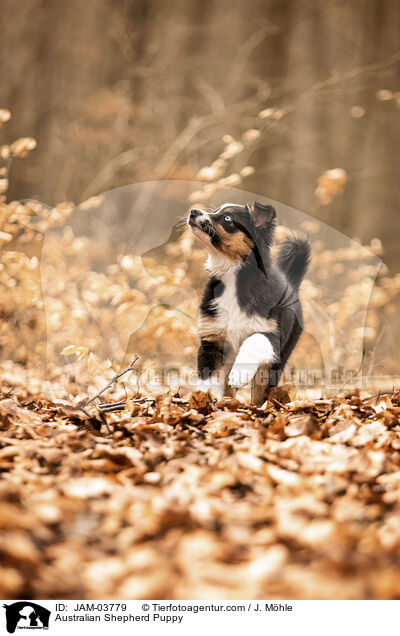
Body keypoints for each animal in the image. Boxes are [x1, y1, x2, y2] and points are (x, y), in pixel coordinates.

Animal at [186, 201, 310, 404]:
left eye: (228, 218)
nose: (193, 211)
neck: (234, 277)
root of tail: (291, 283)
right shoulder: (212, 339)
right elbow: (208, 378)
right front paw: (204, 399)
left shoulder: (271, 334)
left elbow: (254, 340)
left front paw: (240, 373)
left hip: (279, 357)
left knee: (261, 390)